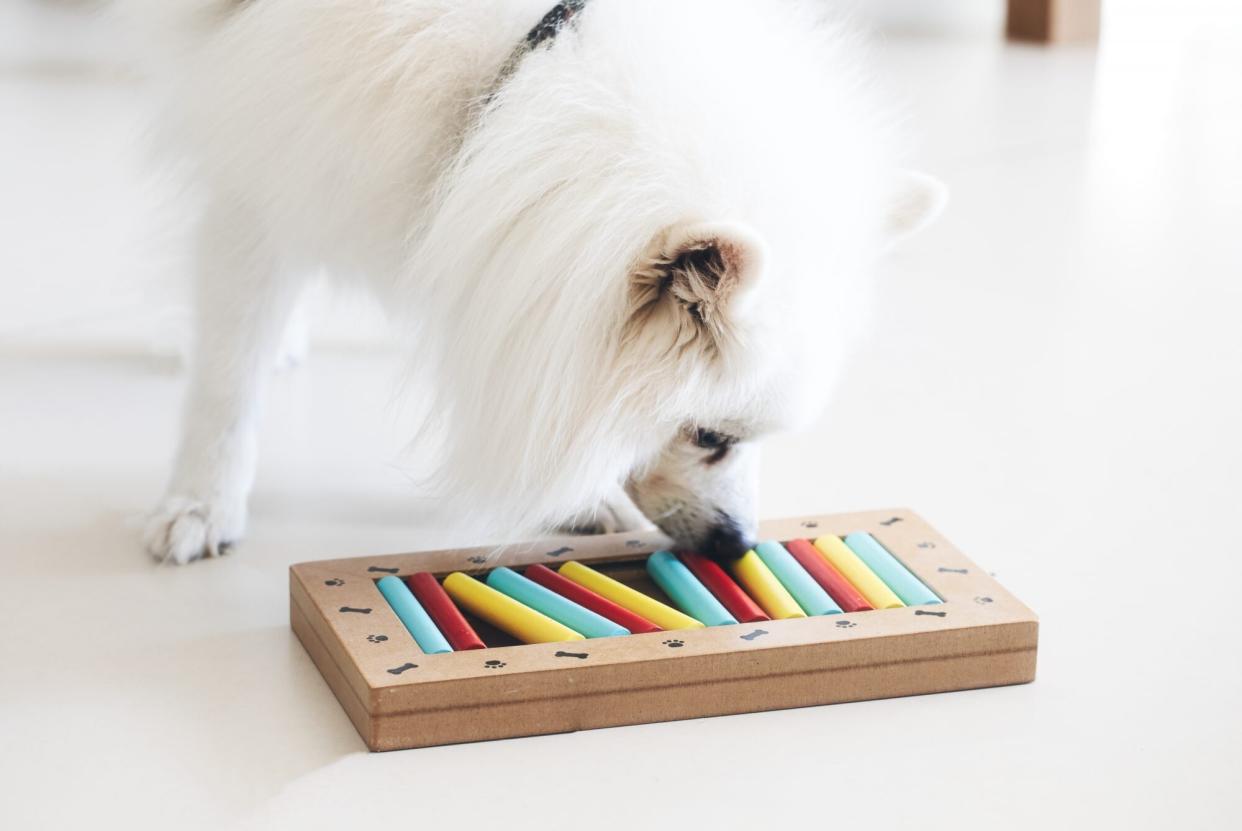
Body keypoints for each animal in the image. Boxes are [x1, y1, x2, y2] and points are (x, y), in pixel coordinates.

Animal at [133, 0, 938, 563]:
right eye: (709, 436)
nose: (738, 543)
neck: (523, 60)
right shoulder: (260, 183)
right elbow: (226, 380)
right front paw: (200, 503)